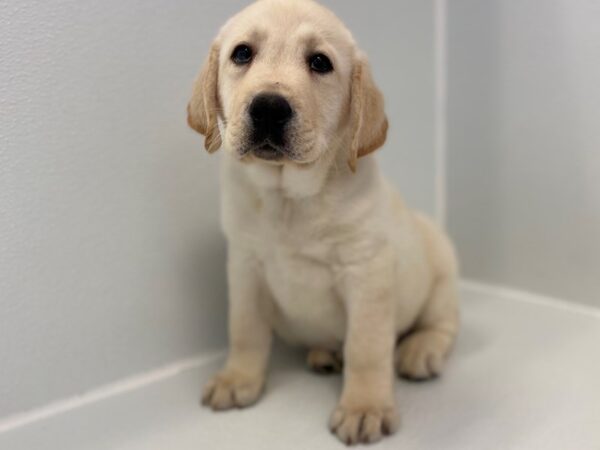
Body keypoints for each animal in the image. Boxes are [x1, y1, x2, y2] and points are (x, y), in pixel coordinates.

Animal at [188, 0, 460, 442]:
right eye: (242, 54)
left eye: (320, 62)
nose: (268, 107)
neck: (288, 198)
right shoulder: (245, 266)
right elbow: (244, 331)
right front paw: (237, 379)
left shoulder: (366, 272)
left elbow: (367, 348)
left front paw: (364, 406)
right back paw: (325, 353)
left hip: (441, 276)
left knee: (441, 324)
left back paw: (420, 350)